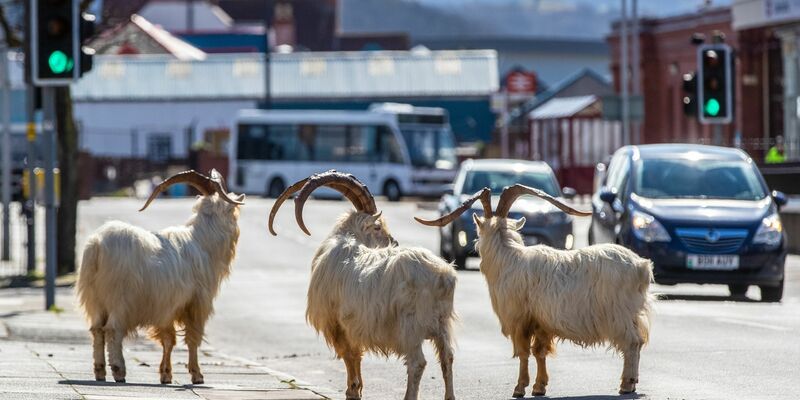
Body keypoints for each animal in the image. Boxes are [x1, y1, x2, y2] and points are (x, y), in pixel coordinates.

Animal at [76, 169, 245, 384]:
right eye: (234, 212)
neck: (202, 241)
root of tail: (97, 245)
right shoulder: (197, 302)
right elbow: (193, 338)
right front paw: (197, 375)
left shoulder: (167, 305)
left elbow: (168, 339)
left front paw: (166, 374)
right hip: (120, 298)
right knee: (113, 330)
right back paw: (119, 370)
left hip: (95, 299)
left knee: (97, 329)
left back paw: (99, 371)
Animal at [269, 170, 457, 400]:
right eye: (377, 227)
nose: (394, 243)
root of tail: (441, 276)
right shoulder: (354, 325)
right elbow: (357, 355)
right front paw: (357, 389)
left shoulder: (337, 324)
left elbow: (349, 355)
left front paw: (352, 391)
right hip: (441, 324)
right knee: (447, 357)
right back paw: (450, 396)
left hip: (410, 326)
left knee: (417, 362)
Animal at [416, 185, 653, 396]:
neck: (508, 258)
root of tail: (641, 266)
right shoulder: (541, 321)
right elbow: (540, 352)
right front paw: (539, 387)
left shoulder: (519, 319)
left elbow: (523, 352)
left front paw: (519, 388)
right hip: (632, 313)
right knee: (640, 341)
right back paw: (633, 382)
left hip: (618, 314)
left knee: (632, 342)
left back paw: (626, 384)